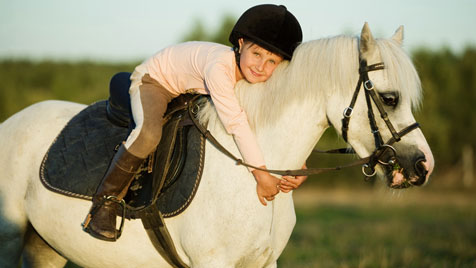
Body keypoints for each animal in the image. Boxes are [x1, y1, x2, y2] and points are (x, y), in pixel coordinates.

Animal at [0, 24, 434, 266]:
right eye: (390, 98)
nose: (422, 166)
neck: (248, 170)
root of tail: (12, 122)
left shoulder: (263, 264)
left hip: (47, 248)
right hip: (10, 239)